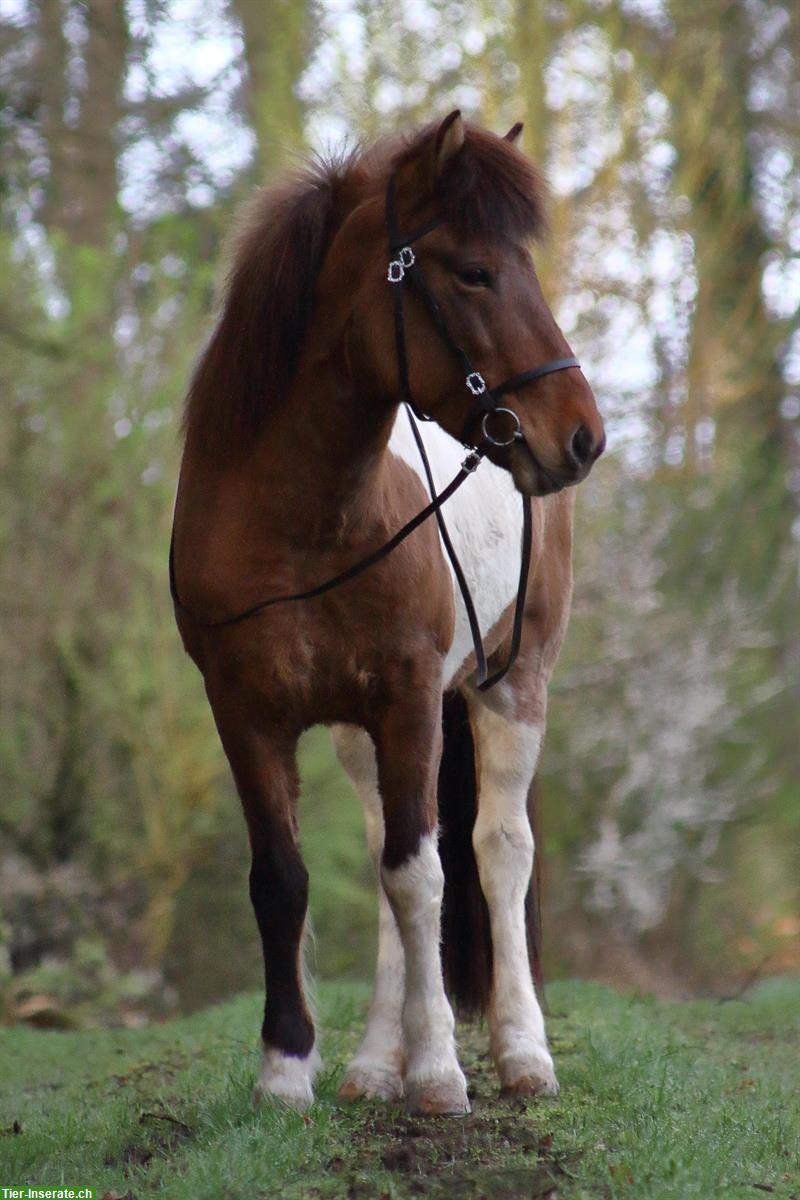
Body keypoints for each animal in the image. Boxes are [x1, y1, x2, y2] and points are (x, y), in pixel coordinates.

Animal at [172, 112, 604, 1113]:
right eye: (474, 271)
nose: (582, 435)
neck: (302, 527)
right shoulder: (244, 711)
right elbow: (285, 879)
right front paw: (288, 1067)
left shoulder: (410, 702)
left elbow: (424, 879)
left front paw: (440, 1071)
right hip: (358, 736)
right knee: (384, 859)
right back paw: (375, 1062)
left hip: (512, 687)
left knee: (496, 851)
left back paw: (521, 1054)